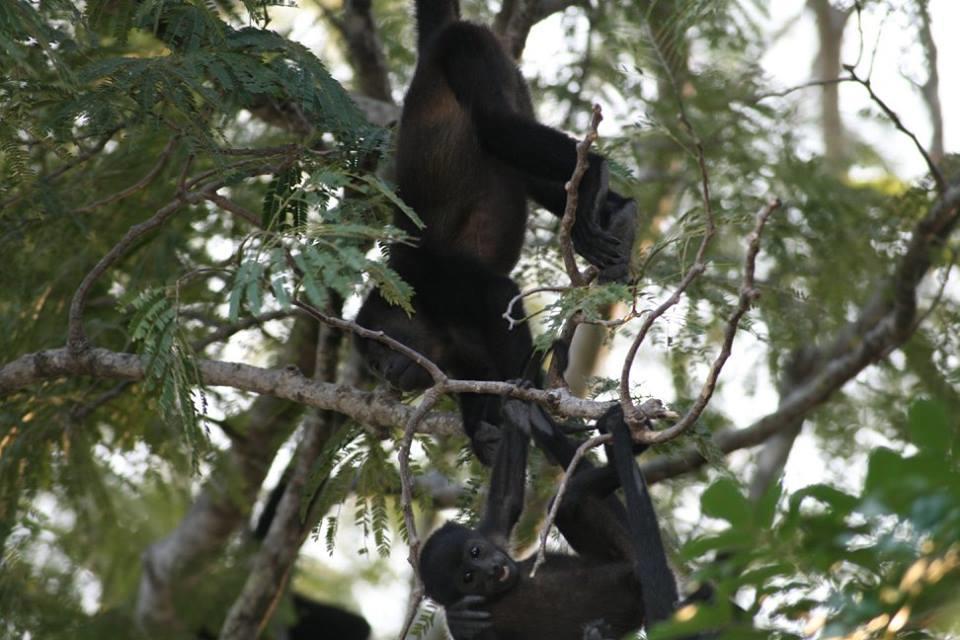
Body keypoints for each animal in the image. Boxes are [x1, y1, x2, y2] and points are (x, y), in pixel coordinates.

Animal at [352, 0, 636, 462]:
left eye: (380, 350)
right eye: (373, 365)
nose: (385, 376)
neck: (433, 325)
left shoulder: (434, 279)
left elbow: (498, 294)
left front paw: (528, 401)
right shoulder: (455, 356)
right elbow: (476, 376)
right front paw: (479, 431)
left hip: (468, 49)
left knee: (495, 125)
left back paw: (594, 173)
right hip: (511, 78)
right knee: (524, 167)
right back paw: (618, 211)